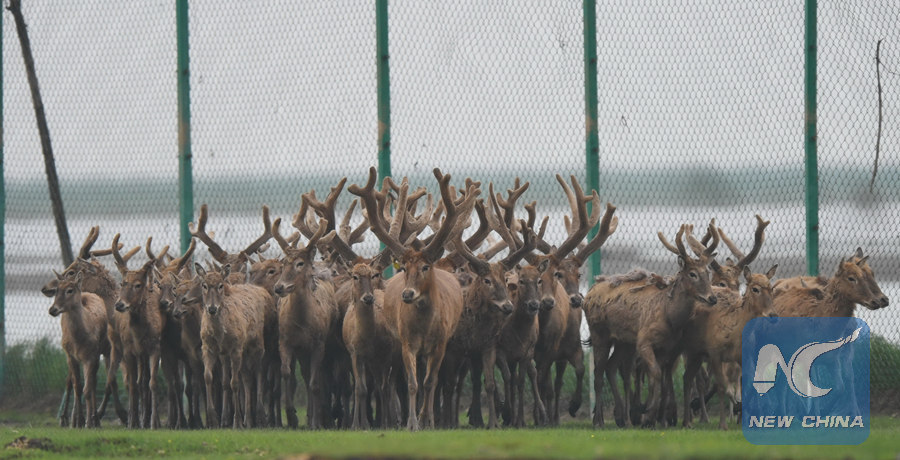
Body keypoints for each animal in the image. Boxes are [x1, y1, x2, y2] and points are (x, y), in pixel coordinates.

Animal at [48, 271, 109, 428]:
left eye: (70, 290)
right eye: (56, 290)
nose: (52, 309)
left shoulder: (91, 356)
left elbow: (87, 389)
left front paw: (88, 422)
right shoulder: (70, 356)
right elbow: (77, 387)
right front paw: (80, 421)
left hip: (100, 352)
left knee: (93, 383)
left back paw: (95, 420)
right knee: (70, 382)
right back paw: (69, 420)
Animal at [348, 167, 477, 431]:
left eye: (426, 267)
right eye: (405, 267)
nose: (407, 294)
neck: (425, 326)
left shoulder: (440, 343)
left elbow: (430, 382)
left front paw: (428, 421)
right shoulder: (407, 342)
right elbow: (412, 383)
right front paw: (412, 423)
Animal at [584, 222, 719, 428]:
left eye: (708, 272)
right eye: (692, 274)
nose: (712, 298)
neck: (669, 316)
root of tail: (589, 293)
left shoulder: (667, 348)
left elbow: (660, 380)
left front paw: (654, 418)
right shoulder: (644, 341)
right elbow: (654, 373)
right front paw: (648, 414)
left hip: (624, 342)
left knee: (610, 367)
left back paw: (624, 419)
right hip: (599, 333)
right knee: (598, 374)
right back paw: (599, 421)